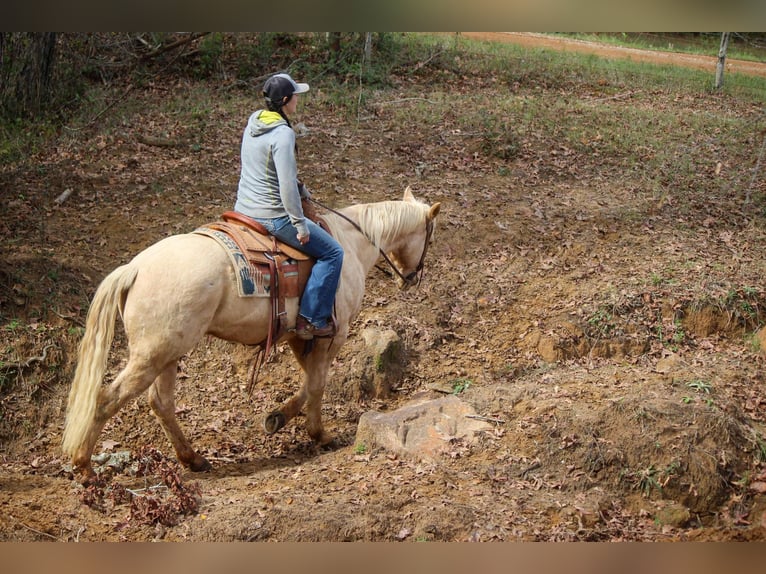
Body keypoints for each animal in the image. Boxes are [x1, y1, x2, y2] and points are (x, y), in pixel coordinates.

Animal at [63, 188, 440, 482]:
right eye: (429, 236)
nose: (412, 277)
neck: (350, 244)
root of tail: (135, 268)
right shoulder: (331, 335)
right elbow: (317, 383)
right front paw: (318, 434)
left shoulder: (299, 337)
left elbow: (309, 382)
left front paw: (278, 417)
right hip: (152, 355)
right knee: (106, 399)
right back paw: (85, 467)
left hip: (167, 354)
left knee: (161, 403)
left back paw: (193, 459)